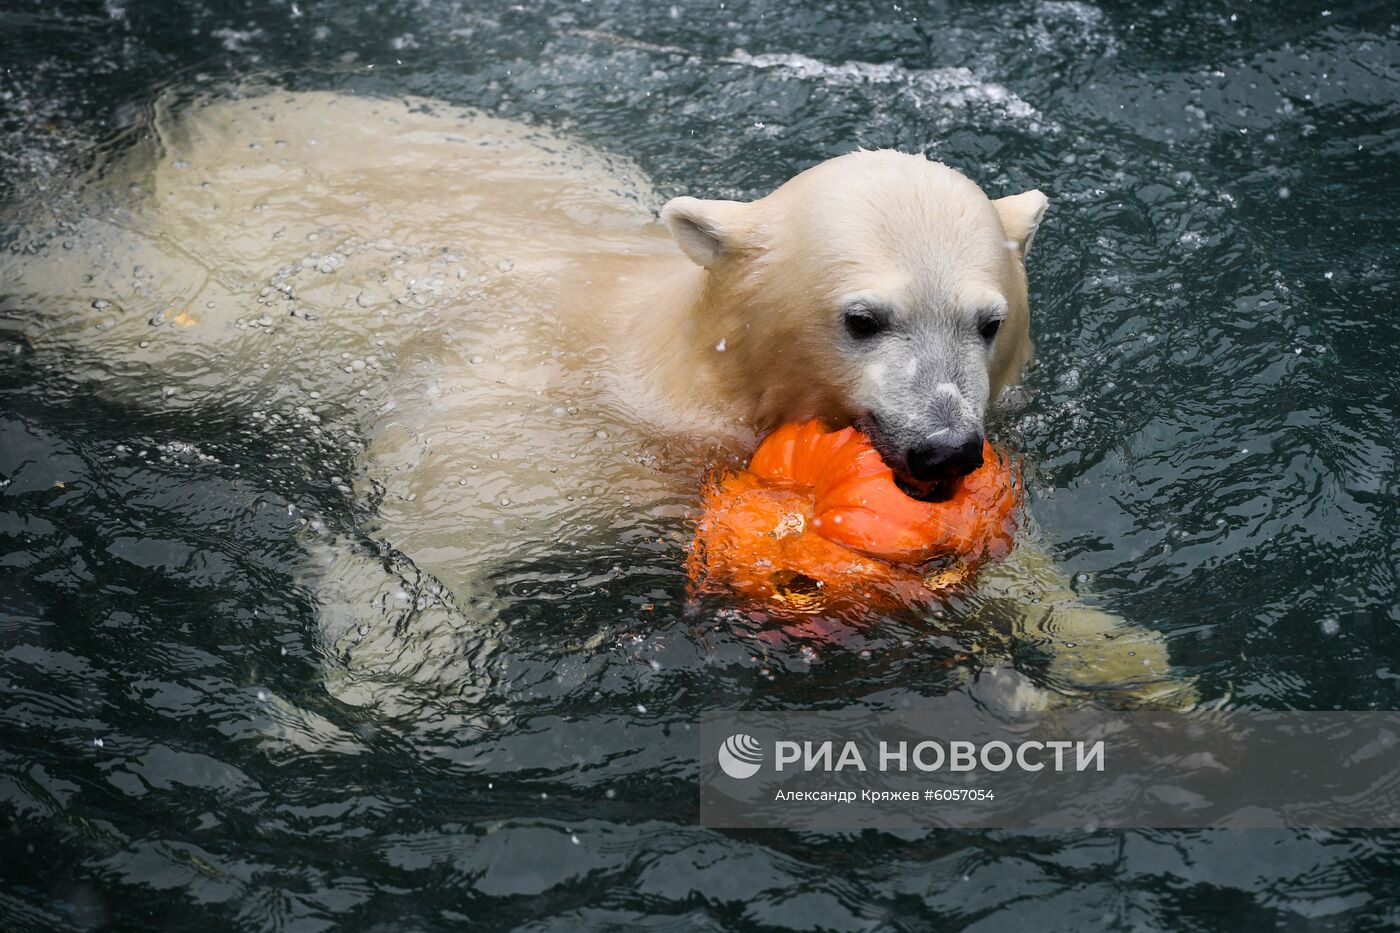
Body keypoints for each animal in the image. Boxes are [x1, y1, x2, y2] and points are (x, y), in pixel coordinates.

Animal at [0, 91, 1198, 708]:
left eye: (986, 321)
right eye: (866, 317)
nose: (944, 449)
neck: (668, 381)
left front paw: (1134, 668)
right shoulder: (532, 434)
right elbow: (422, 538)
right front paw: (370, 698)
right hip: (192, 292)